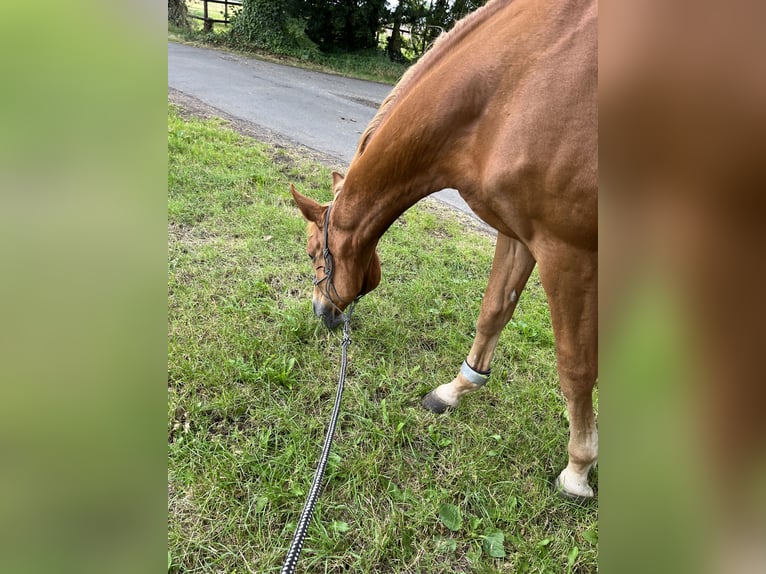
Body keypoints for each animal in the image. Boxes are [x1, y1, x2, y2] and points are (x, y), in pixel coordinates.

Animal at [292, 0, 596, 498]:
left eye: (314, 251)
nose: (321, 314)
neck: (508, 90)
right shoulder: (519, 233)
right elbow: (493, 312)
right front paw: (454, 390)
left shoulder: (567, 252)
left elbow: (575, 366)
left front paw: (578, 468)